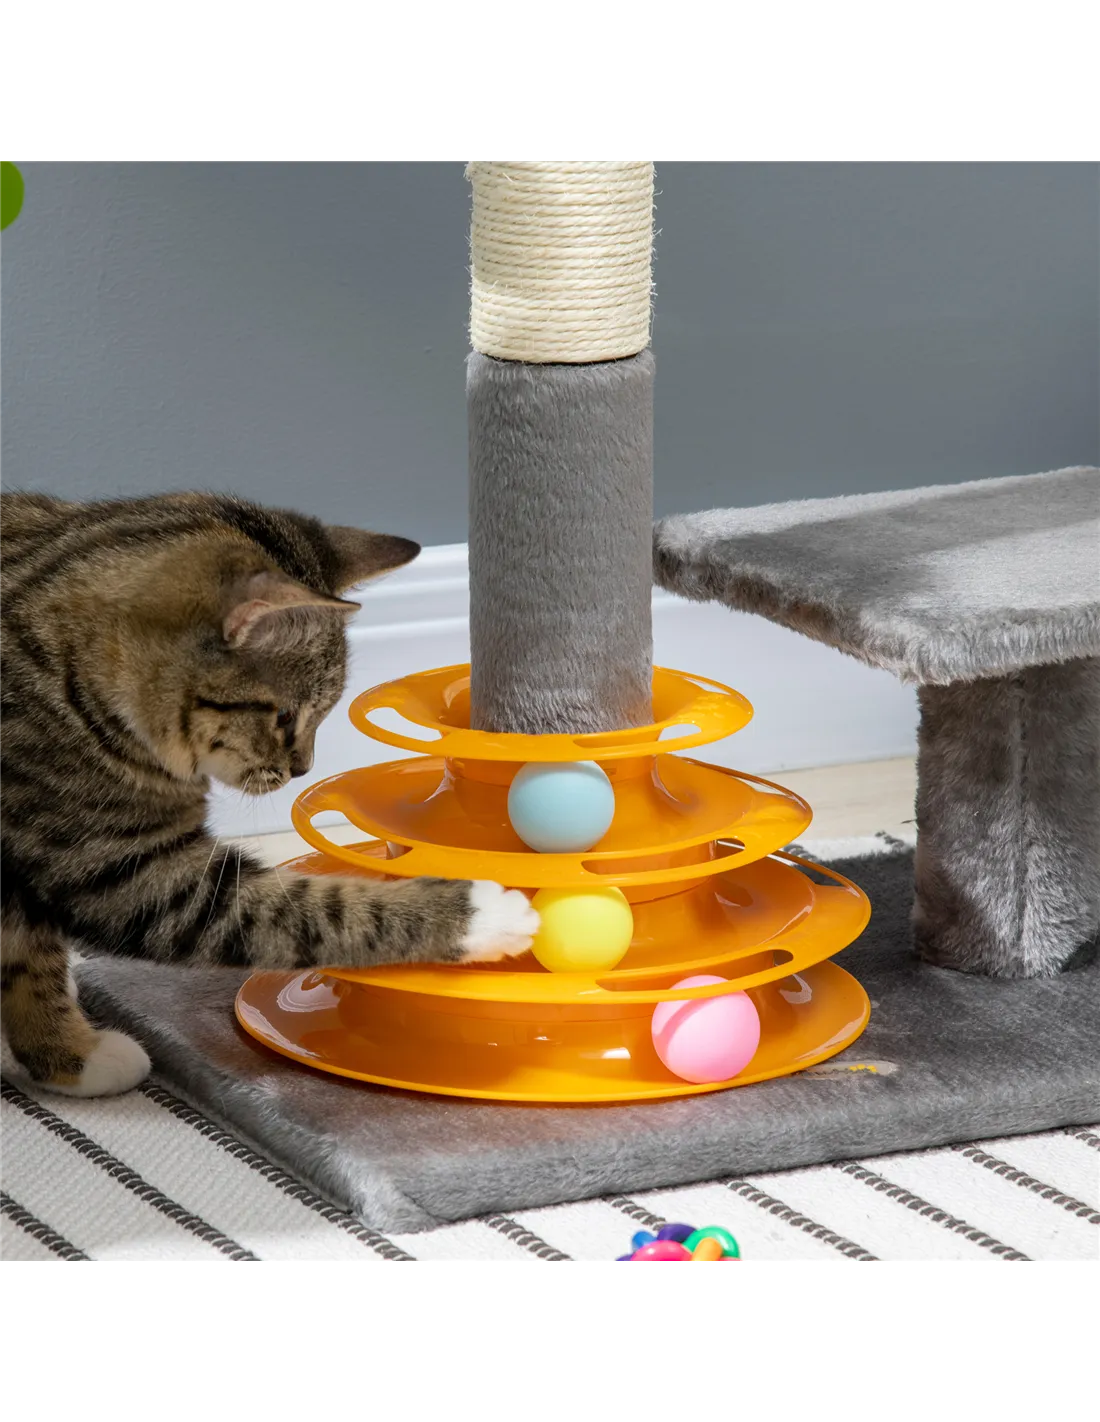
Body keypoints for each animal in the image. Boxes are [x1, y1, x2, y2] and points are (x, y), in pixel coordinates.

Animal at [0, 491, 538, 1097]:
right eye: (284, 716)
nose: (302, 769)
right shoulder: (126, 867)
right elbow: (318, 911)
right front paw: (484, 915)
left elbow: (27, 961)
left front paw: (65, 1056)